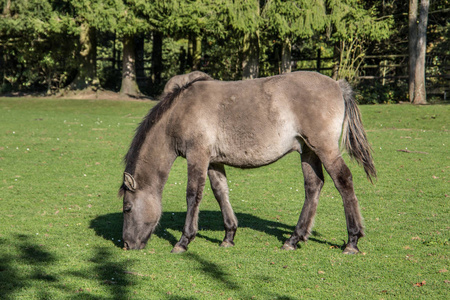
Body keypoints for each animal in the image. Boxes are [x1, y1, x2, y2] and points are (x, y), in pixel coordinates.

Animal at [120, 71, 376, 254]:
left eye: (127, 207)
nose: (126, 244)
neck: (182, 111)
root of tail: (337, 85)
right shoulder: (213, 161)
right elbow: (220, 192)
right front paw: (229, 236)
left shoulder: (197, 156)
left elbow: (193, 195)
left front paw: (184, 241)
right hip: (308, 151)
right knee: (314, 187)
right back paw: (293, 239)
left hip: (325, 148)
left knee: (344, 181)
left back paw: (352, 241)